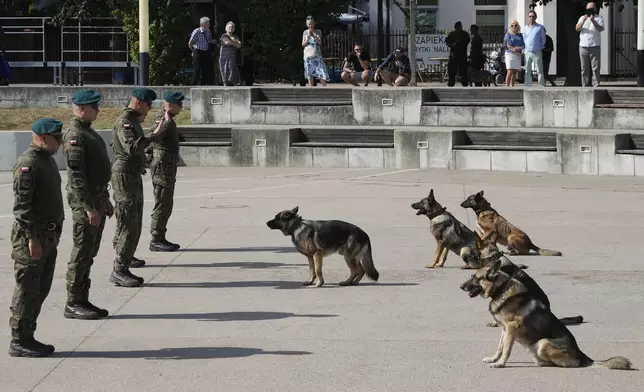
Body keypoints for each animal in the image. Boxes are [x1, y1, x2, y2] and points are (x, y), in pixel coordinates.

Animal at [458, 260, 632, 370]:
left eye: (475, 277)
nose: (460, 286)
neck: (501, 289)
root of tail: (582, 355)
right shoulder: (504, 329)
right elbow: (500, 347)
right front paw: (494, 359)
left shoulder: (511, 328)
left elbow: (506, 349)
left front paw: (500, 364)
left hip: (543, 343)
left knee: (571, 364)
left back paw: (547, 363)